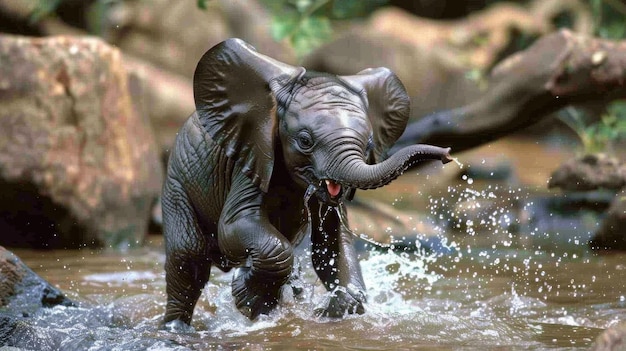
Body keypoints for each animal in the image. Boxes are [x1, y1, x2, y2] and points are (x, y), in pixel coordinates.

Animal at [161, 38, 450, 328]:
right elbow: (234, 226)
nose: (447, 154)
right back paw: (177, 328)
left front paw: (336, 307)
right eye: (305, 141)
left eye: (369, 144)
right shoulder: (252, 155)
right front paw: (249, 298)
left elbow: (332, 241)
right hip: (176, 184)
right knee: (188, 257)